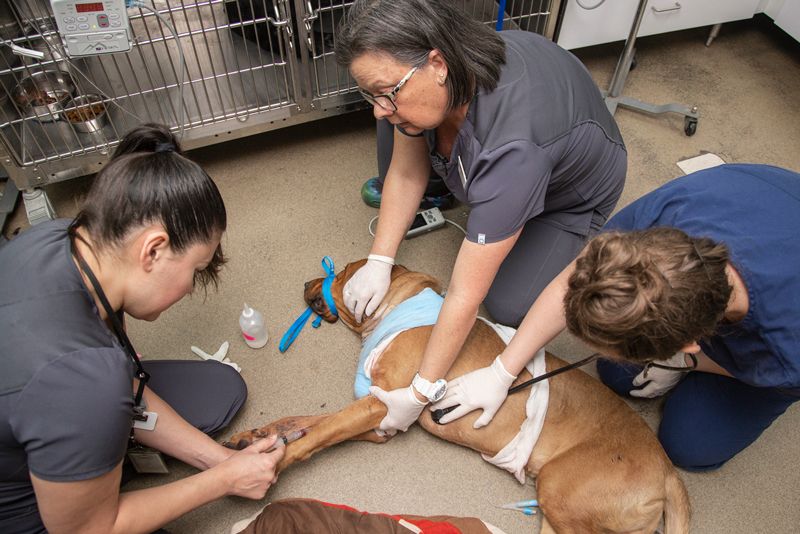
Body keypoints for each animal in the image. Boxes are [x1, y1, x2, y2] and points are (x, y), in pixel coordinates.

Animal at [225, 262, 688, 532]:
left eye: (339, 276)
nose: (306, 282)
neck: (398, 310)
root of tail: (668, 469)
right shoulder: (380, 420)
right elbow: (306, 422)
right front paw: (257, 437)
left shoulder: (381, 405)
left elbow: (314, 436)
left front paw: (268, 466)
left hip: (561, 492)